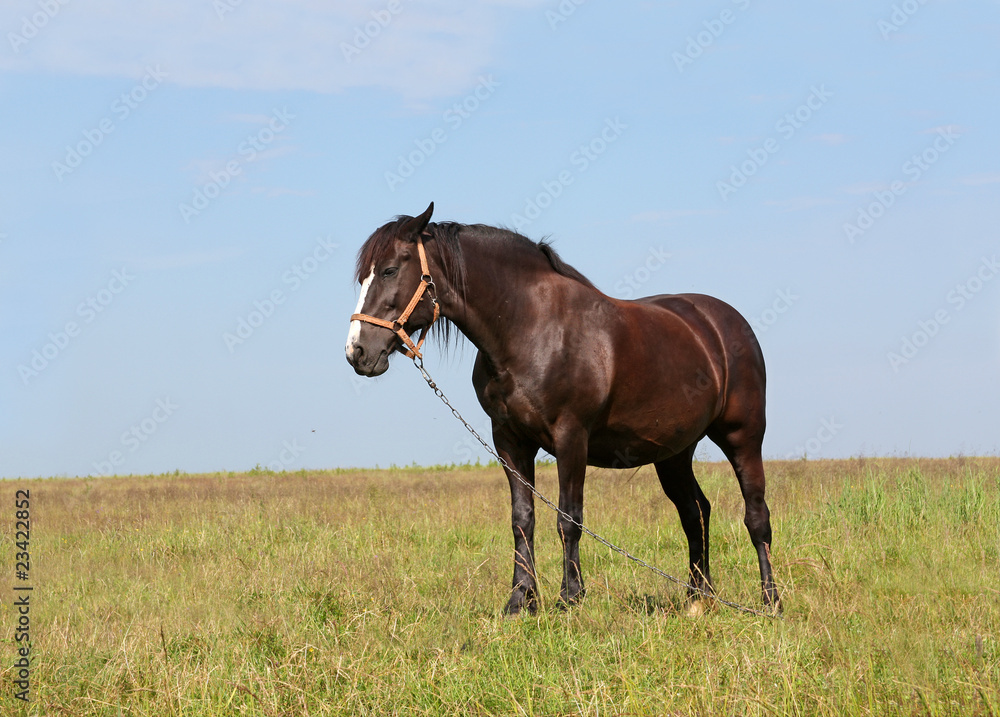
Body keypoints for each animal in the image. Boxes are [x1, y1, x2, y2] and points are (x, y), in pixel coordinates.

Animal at [345, 202, 779, 616]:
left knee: (756, 516)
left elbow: (568, 518)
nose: (358, 352)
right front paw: (520, 600)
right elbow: (523, 519)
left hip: (742, 436)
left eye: (389, 270)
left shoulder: (571, 438)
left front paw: (570, 597)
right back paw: (699, 598)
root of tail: (724, 323)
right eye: (362, 277)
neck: (532, 327)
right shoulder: (510, 441)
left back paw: (770, 600)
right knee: (696, 512)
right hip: (673, 453)